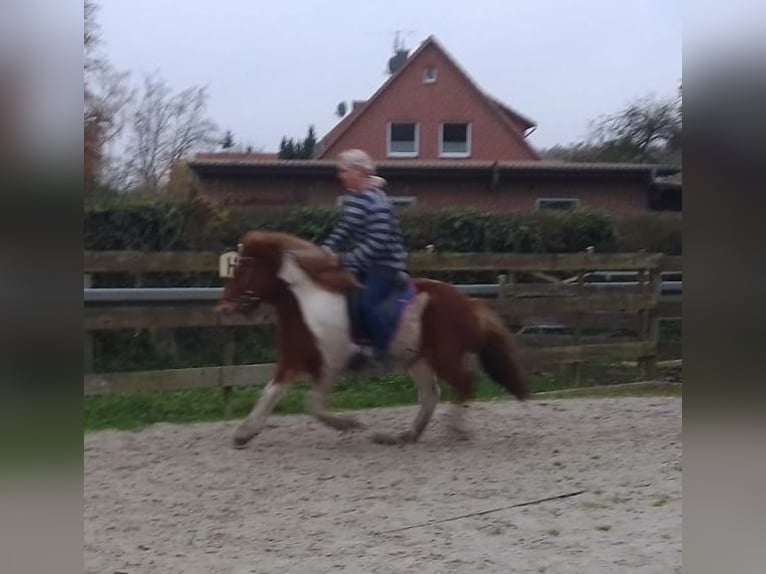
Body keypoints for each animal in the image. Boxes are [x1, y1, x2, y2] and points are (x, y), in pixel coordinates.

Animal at [215, 230, 528, 448]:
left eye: (244, 269)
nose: (224, 308)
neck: (307, 303)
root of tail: (468, 303)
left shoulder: (330, 364)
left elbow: (314, 405)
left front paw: (349, 424)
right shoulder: (294, 361)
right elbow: (270, 394)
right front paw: (244, 434)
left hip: (444, 358)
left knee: (465, 384)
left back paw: (456, 430)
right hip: (419, 362)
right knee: (431, 396)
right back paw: (404, 436)